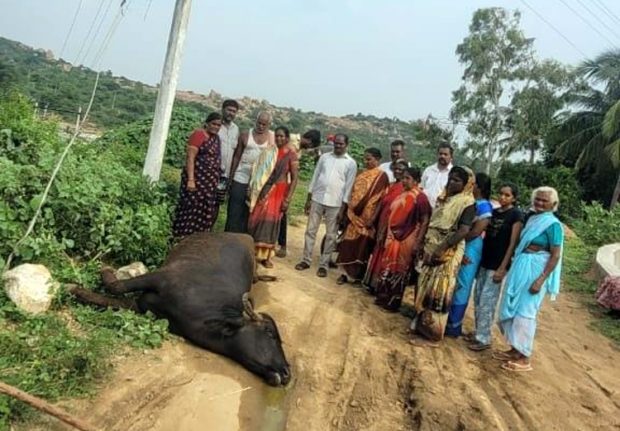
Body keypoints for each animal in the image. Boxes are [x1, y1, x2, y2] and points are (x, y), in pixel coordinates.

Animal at [70, 233, 290, 388]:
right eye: (269, 332)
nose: (287, 372)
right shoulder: (161, 277)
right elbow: (117, 286)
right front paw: (99, 273)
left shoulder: (144, 307)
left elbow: (112, 300)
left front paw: (79, 292)